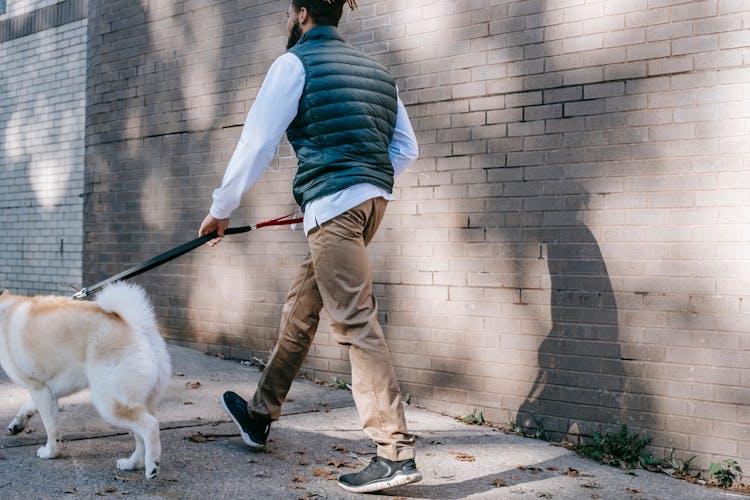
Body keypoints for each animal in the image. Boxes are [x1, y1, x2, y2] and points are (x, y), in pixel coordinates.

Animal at [0, 284, 172, 478]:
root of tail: (136, 325)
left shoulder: (38, 388)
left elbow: (51, 427)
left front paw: (50, 452)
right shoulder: (46, 391)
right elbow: (31, 408)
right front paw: (18, 424)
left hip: (109, 403)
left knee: (150, 426)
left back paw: (152, 466)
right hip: (140, 401)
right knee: (141, 436)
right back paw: (132, 464)